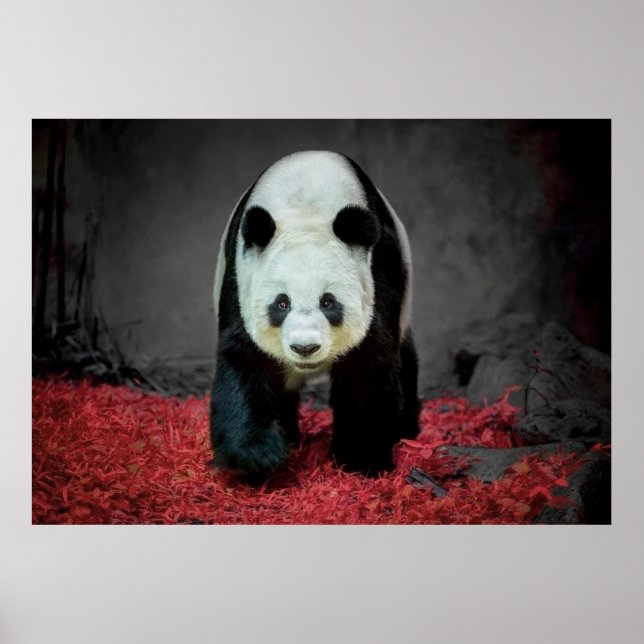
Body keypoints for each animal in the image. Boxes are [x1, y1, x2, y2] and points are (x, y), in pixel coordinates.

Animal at [210, 150, 419, 480]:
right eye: (281, 304)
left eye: (328, 303)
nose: (305, 347)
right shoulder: (241, 278)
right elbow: (244, 360)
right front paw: (257, 456)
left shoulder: (378, 272)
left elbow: (369, 363)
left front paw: (362, 459)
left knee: (405, 359)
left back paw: (406, 429)